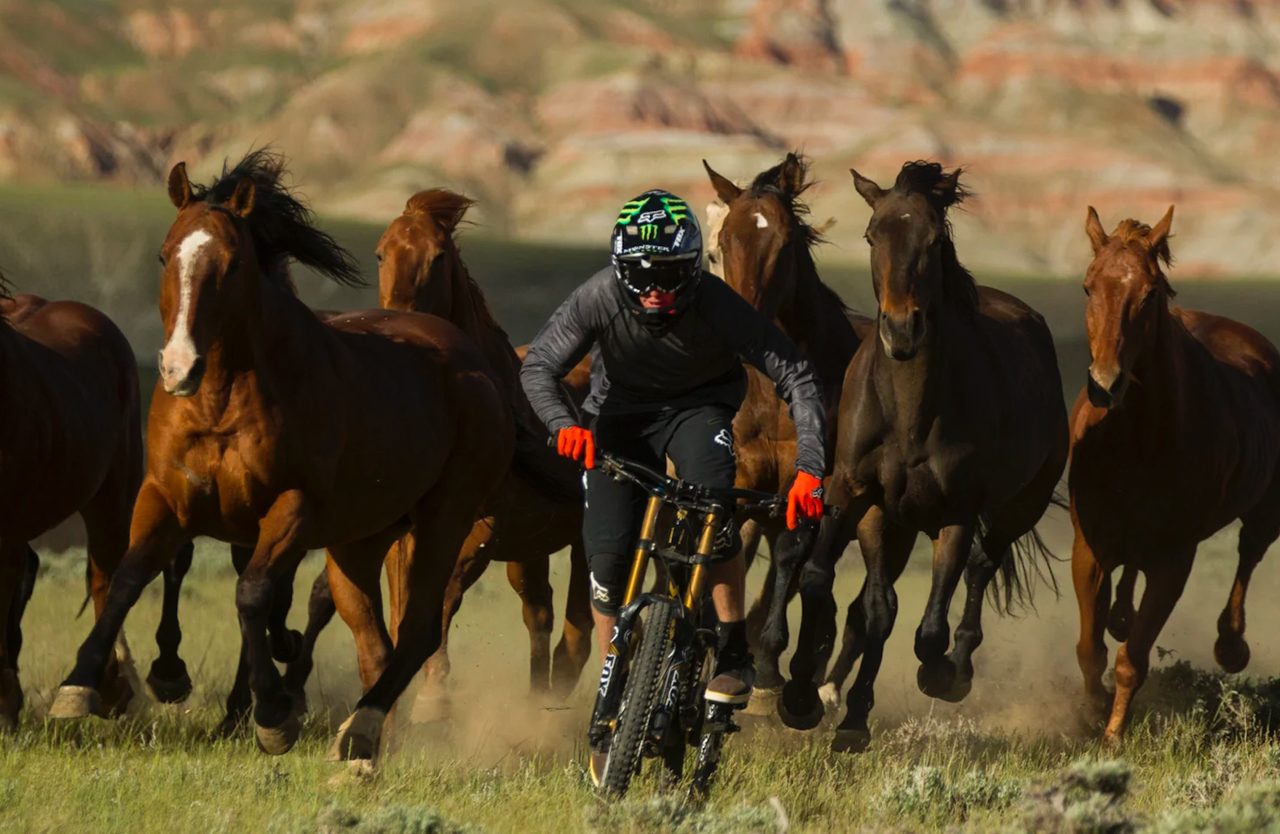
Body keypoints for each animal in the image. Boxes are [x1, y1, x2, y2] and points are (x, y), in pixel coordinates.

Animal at [49, 151, 513, 764]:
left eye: (233, 262)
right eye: (165, 254)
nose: (178, 367)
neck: (222, 400)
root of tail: (471, 360)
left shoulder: (292, 508)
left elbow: (252, 595)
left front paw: (272, 713)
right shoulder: (166, 495)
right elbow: (129, 577)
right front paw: (79, 685)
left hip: (444, 519)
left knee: (417, 632)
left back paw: (361, 729)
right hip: (363, 537)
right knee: (374, 637)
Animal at [701, 153, 870, 715]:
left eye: (784, 243)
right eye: (721, 243)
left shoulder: (808, 485)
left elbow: (791, 558)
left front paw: (771, 667)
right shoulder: (742, 478)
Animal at [779, 161, 1068, 753]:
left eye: (934, 240)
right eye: (872, 235)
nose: (901, 330)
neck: (909, 414)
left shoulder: (954, 512)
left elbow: (928, 627)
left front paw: (938, 674)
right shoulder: (858, 495)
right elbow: (843, 591)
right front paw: (807, 700)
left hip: (1020, 505)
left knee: (982, 567)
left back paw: (957, 668)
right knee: (878, 606)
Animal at [1070, 207, 1280, 743]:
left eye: (1150, 294)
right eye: (1087, 287)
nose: (1106, 385)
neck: (1136, 442)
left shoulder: (1174, 561)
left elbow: (1132, 661)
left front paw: (1112, 734)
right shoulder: (1090, 549)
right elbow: (1090, 648)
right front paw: (1090, 711)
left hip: (1264, 511)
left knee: (1249, 552)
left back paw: (1231, 645)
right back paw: (1121, 616)